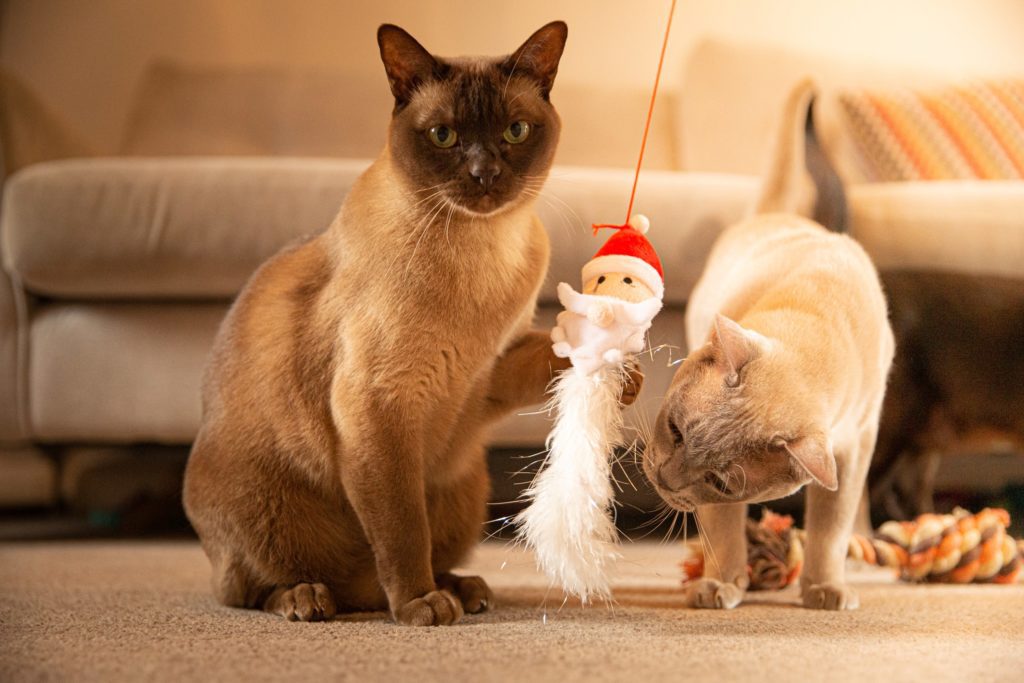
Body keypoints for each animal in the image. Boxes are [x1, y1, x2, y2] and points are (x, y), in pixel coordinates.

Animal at [183, 22, 573, 626]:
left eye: (515, 131)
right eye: (443, 136)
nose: (484, 175)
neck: (483, 249)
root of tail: (361, 595)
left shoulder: (485, 375)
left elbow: (550, 351)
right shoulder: (378, 404)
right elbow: (401, 528)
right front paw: (417, 605)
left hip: (465, 484)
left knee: (413, 563)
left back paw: (464, 588)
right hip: (264, 509)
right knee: (252, 588)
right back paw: (315, 599)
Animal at [643, 80, 892, 610]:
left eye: (720, 480)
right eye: (676, 431)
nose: (664, 481)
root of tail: (778, 214)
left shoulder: (854, 448)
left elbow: (829, 529)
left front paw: (825, 588)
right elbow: (722, 531)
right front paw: (722, 585)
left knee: (856, 513)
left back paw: (862, 553)